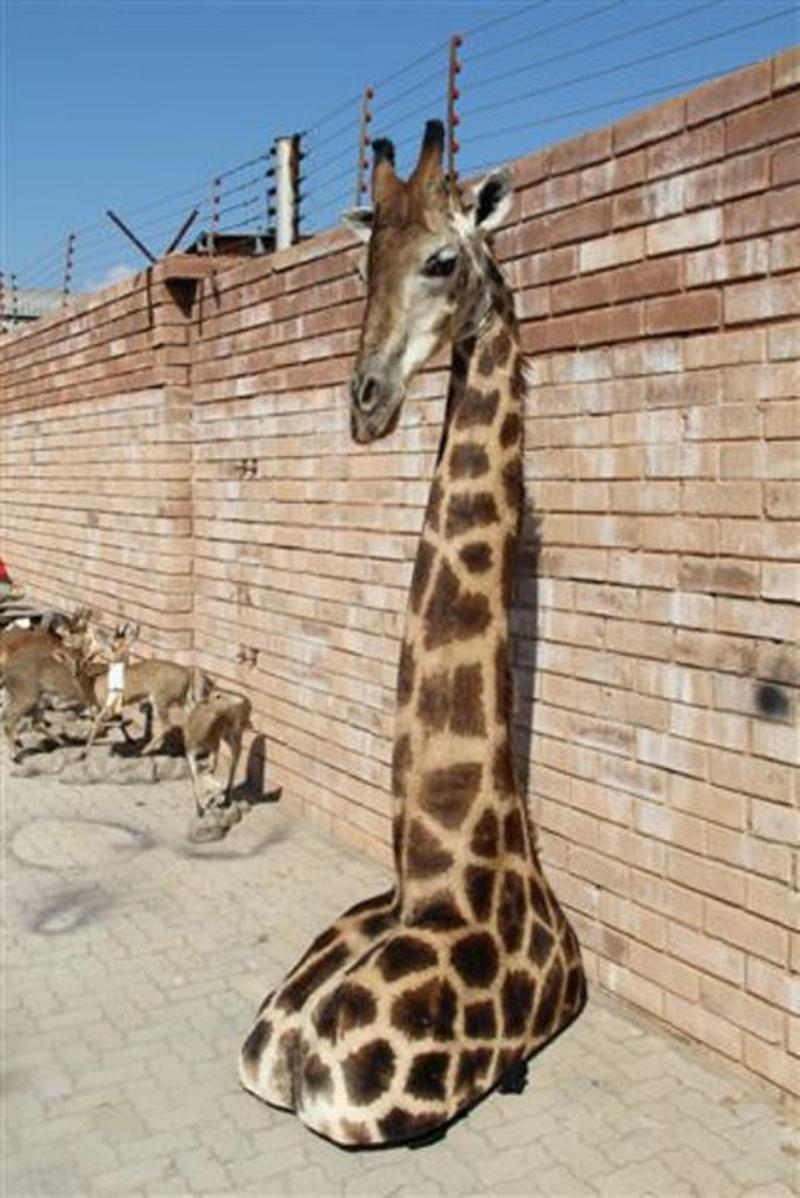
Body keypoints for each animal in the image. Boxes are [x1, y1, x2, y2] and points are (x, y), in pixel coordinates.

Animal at [239, 120, 586, 1147]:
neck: (437, 878)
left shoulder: (349, 1103)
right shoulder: (266, 1052)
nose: (366, 402)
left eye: (441, 259)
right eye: (362, 264)